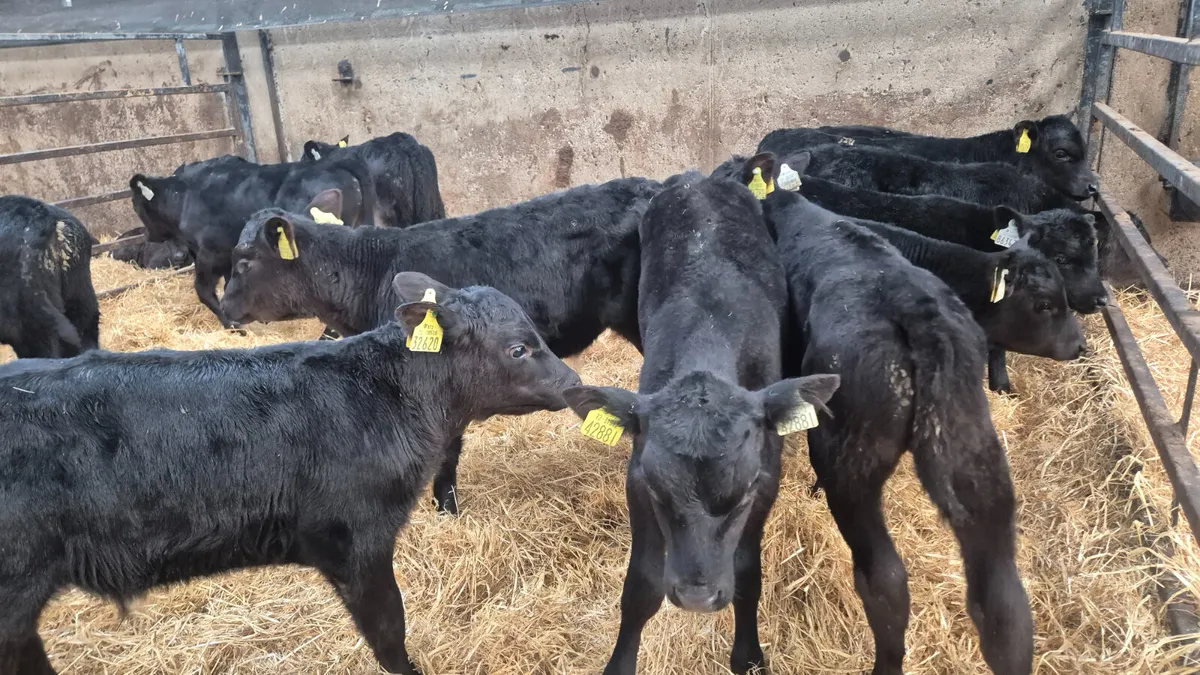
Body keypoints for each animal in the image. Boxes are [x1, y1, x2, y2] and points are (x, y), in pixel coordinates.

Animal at [130, 155, 375, 327]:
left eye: (135, 205)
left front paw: (232, 325)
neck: (185, 197)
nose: (147, 235)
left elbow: (204, 290)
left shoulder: (210, 254)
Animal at [561, 161, 840, 675]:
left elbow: (747, 573)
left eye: (743, 492)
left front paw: (748, 656)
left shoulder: (766, 477)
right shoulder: (637, 477)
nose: (696, 597)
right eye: (658, 490)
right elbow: (642, 585)